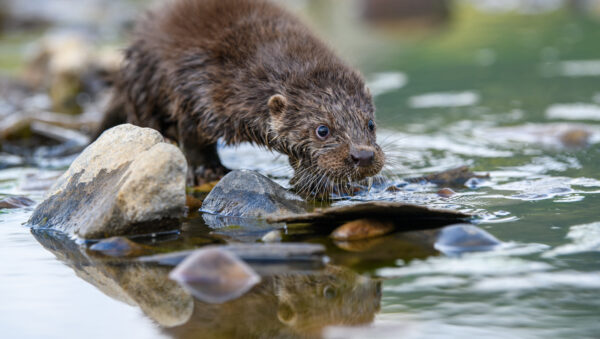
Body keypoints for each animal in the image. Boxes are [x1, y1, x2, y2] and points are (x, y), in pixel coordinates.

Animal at [103, 0, 384, 197]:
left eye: (371, 124)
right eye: (322, 130)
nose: (363, 156)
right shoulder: (197, 90)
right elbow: (193, 138)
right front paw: (208, 171)